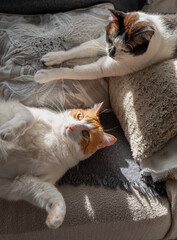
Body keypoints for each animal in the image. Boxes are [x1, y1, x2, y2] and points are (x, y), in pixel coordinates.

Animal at [0, 101, 116, 229]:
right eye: (80, 116)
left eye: (86, 134)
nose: (71, 126)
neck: (58, 139)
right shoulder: (16, 106)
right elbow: (28, 116)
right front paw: (8, 132)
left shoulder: (14, 183)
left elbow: (54, 195)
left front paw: (56, 216)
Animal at [34, 9, 176, 83]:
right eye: (110, 40)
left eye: (125, 50)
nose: (111, 53)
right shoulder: (100, 43)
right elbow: (76, 50)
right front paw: (54, 57)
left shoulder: (100, 69)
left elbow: (72, 71)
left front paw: (45, 75)